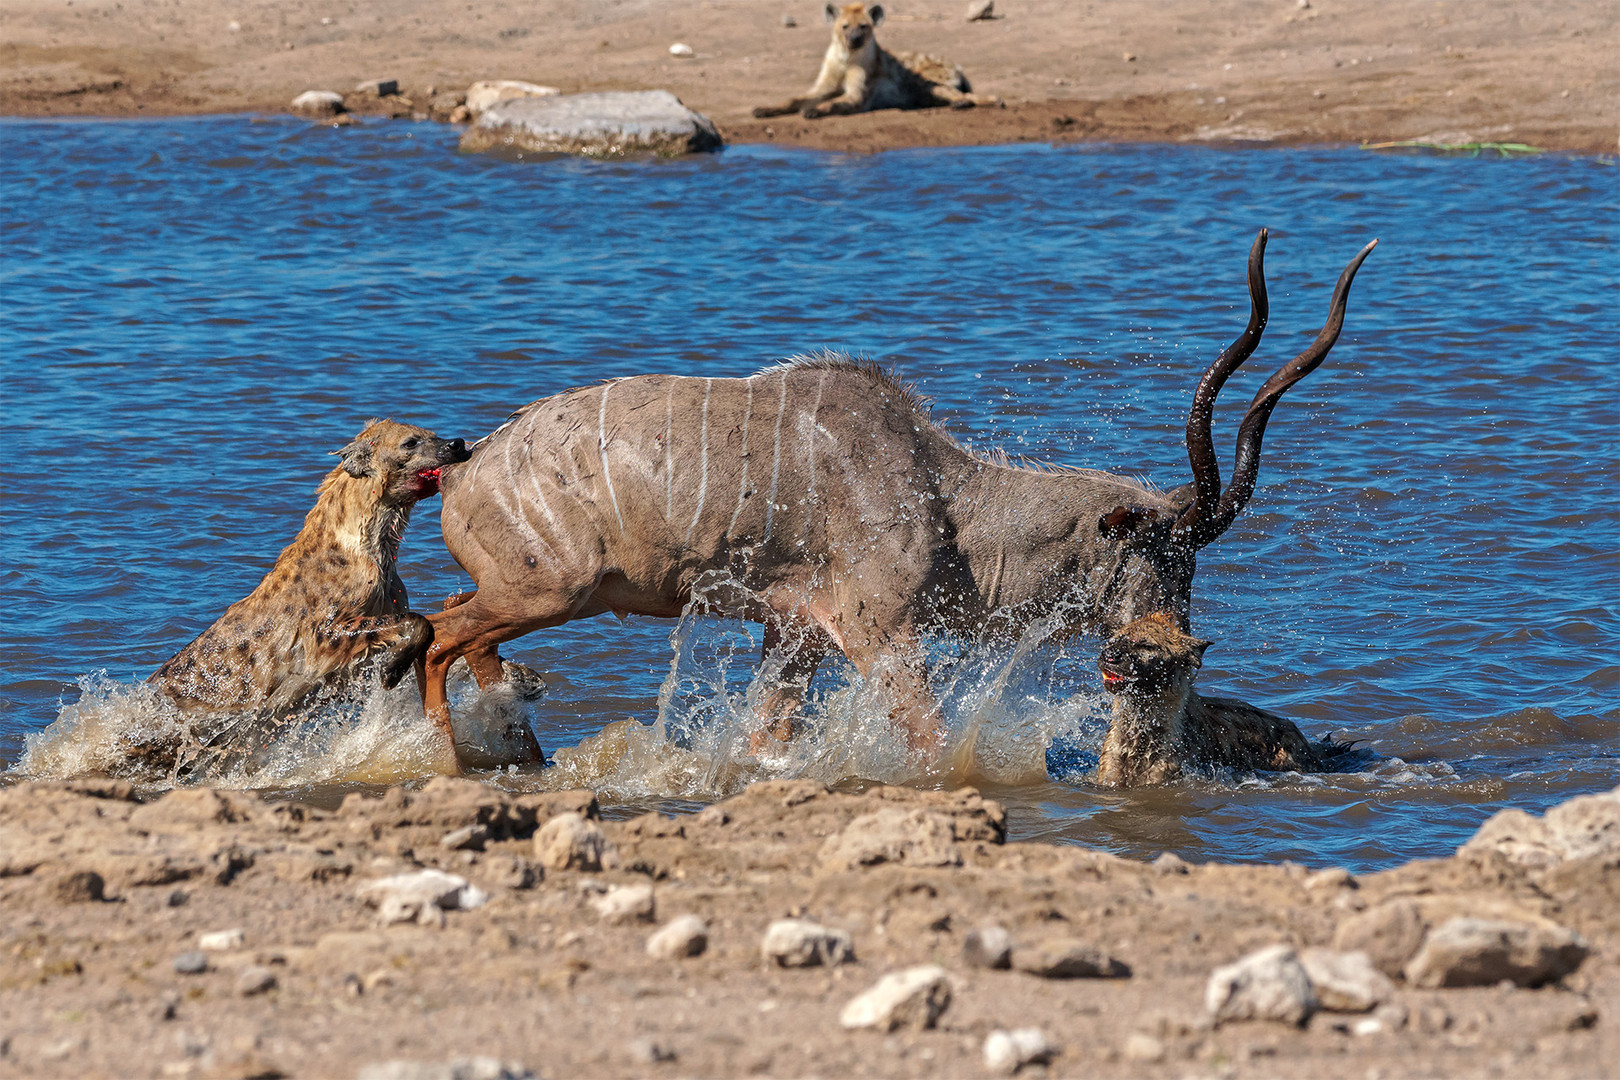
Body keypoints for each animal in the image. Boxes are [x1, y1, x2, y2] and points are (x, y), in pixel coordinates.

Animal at [424, 229, 1373, 767]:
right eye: (1165, 552)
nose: (1170, 647)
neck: (946, 498)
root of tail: (469, 468)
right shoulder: (878, 633)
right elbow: (932, 742)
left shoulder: (795, 633)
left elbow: (769, 738)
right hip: (546, 593)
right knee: (437, 640)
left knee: (456, 636)